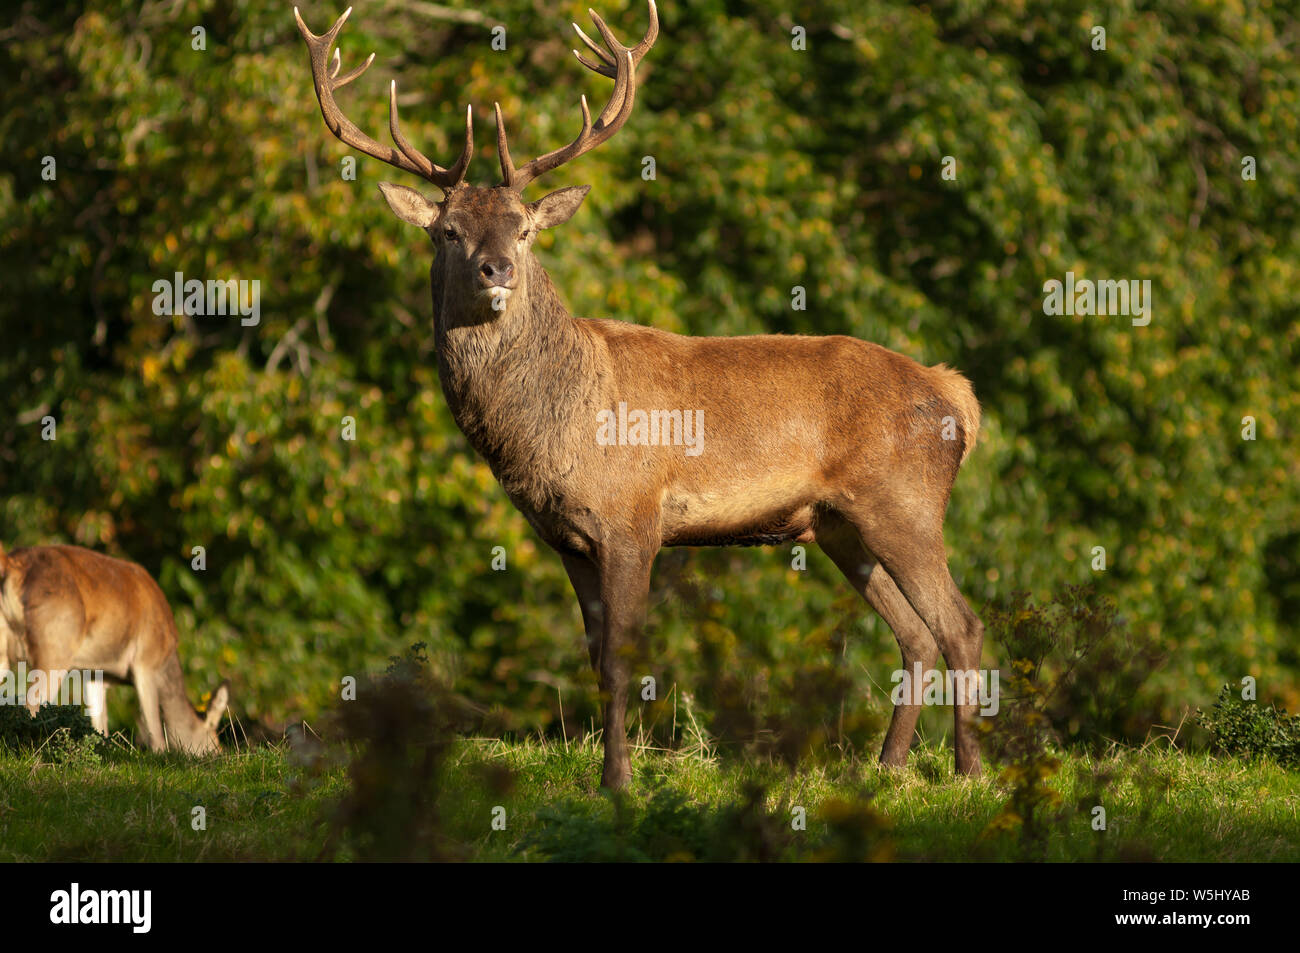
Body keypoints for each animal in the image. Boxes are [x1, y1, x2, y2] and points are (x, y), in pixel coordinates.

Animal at [0, 543, 228, 748]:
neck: (167, 657)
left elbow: (100, 724)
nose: (218, 756)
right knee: (31, 704)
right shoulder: (146, 662)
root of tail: (13, 565)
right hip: (54, 647)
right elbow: (155, 732)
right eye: (214, 745)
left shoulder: (94, 674)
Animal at [295, 1, 982, 790]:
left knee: (960, 624)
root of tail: (955, 397)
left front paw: (617, 780)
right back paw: (885, 767)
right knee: (915, 634)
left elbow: (622, 660)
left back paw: (968, 770)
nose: (497, 270)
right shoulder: (564, 535)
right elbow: (594, 658)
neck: (552, 429)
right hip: (840, 524)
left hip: (906, 502)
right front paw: (609, 769)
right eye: (447, 231)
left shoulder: (632, 517)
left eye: (524, 230)